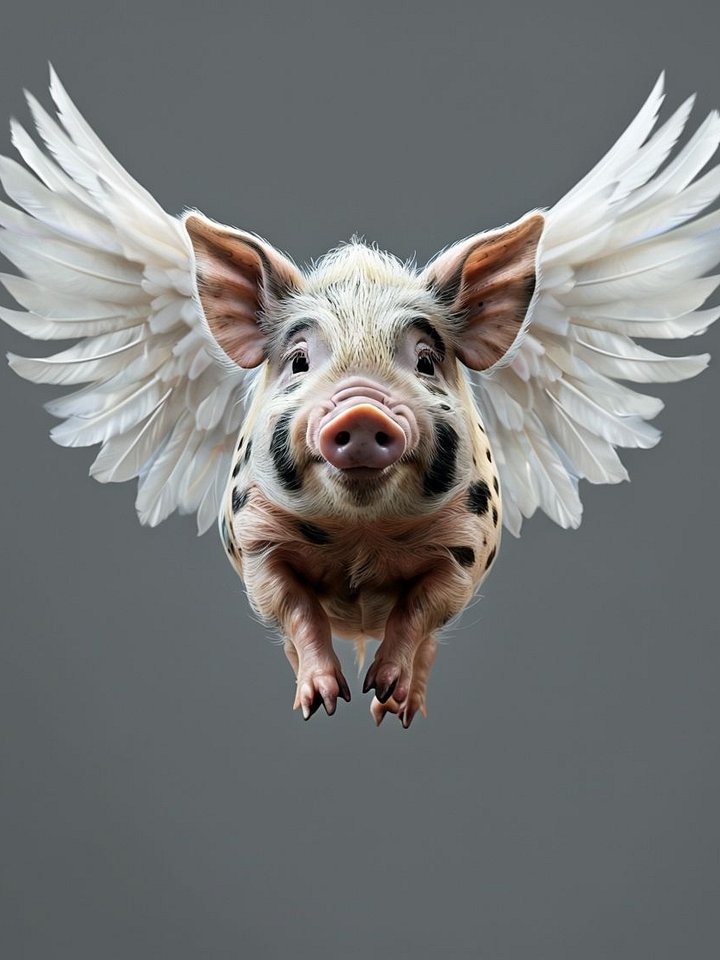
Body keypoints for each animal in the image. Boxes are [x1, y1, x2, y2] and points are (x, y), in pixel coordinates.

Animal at [184, 212, 543, 726]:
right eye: (299, 361)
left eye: (425, 361)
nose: (361, 411)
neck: (360, 535)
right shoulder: (256, 541)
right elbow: (297, 612)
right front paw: (325, 702)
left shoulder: (464, 548)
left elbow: (418, 612)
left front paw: (383, 688)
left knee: (429, 646)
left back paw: (397, 711)